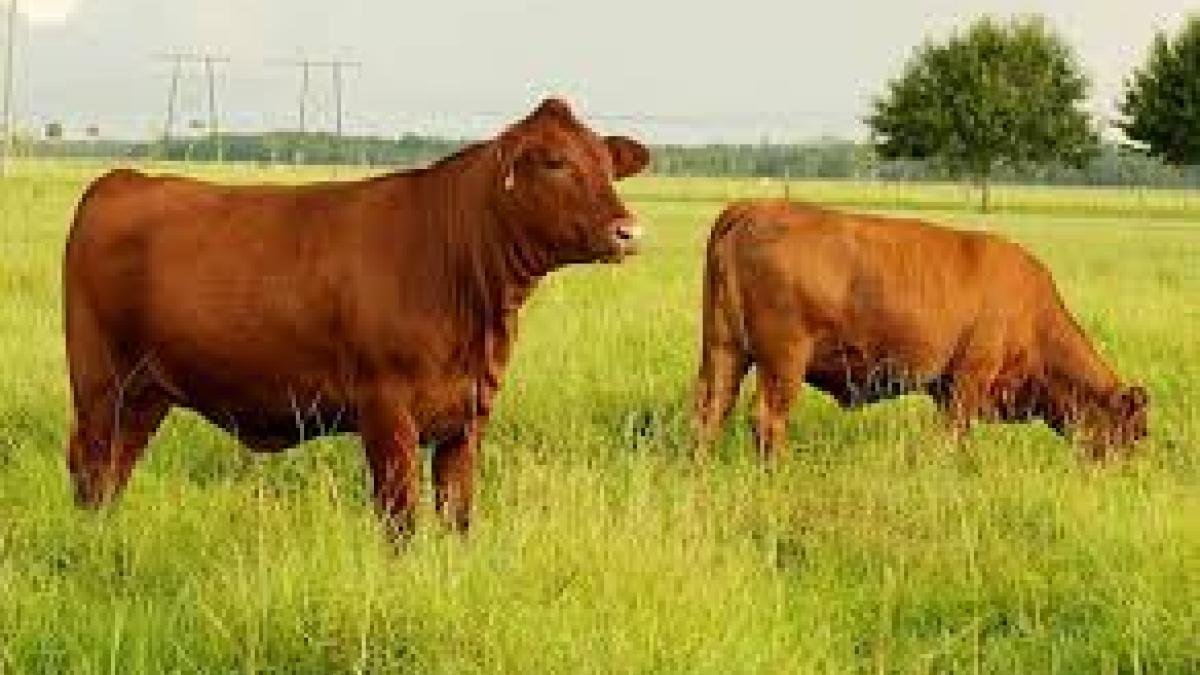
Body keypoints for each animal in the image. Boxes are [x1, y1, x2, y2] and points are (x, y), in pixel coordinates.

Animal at [63, 98, 650, 535]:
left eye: (606, 162)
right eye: (554, 162)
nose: (629, 231)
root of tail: (123, 178)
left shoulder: (470, 414)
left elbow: (457, 516)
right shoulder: (386, 406)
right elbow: (400, 517)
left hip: (145, 394)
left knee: (114, 472)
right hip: (100, 384)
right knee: (90, 469)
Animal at [694, 200, 1148, 460]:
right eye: (1134, 432)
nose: (1125, 473)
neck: (1036, 317)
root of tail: (754, 208)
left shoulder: (948, 389)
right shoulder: (969, 380)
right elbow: (955, 435)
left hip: (724, 349)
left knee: (710, 409)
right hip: (783, 361)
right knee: (766, 418)